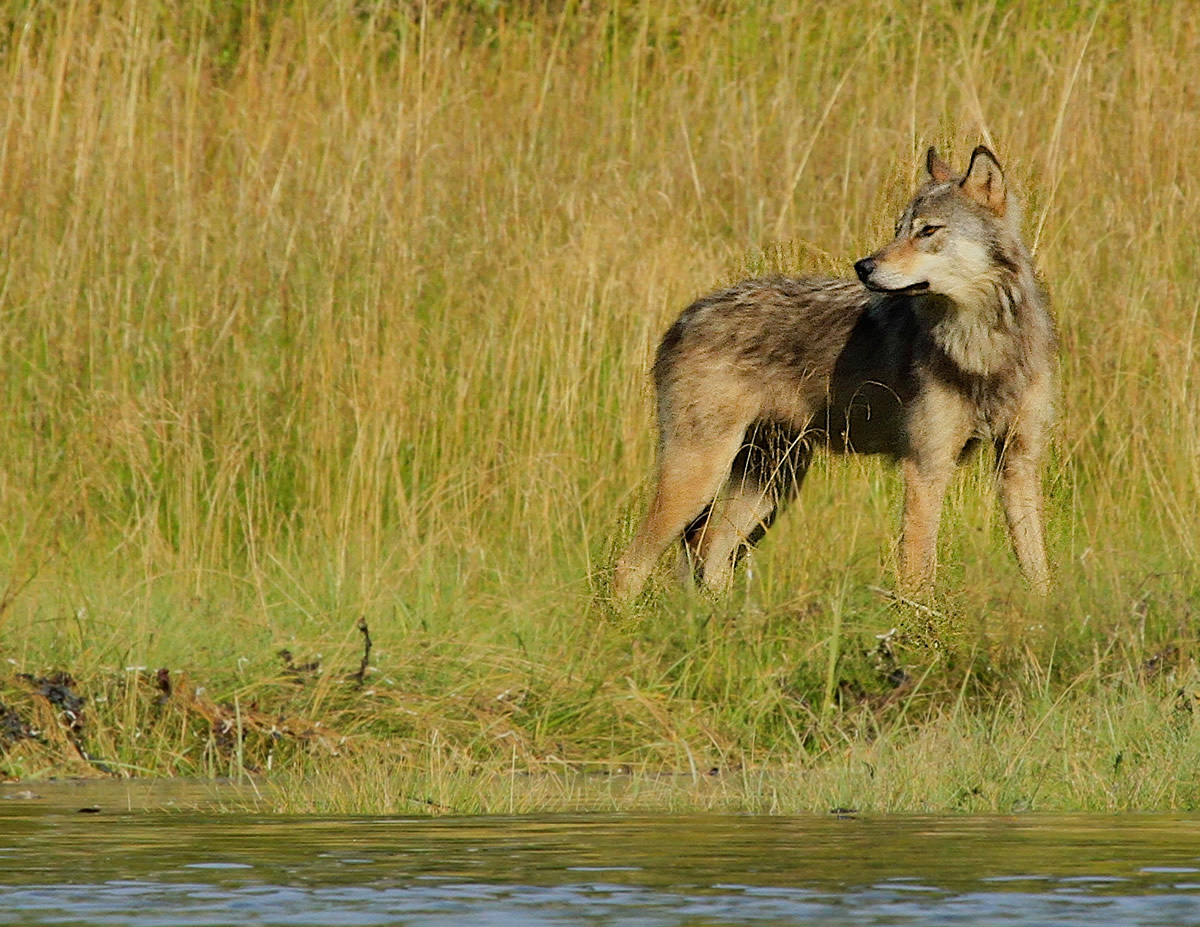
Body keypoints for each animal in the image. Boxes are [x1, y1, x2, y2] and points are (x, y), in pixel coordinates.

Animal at [614, 141, 1056, 597]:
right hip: (701, 477)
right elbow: (917, 575)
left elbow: (1037, 566)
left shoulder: (1019, 463)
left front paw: (1044, 613)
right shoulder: (926, 467)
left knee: (710, 555)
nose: (863, 266)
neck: (984, 348)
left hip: (770, 484)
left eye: (927, 231)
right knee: (631, 563)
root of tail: (685, 316)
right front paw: (919, 620)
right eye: (898, 228)